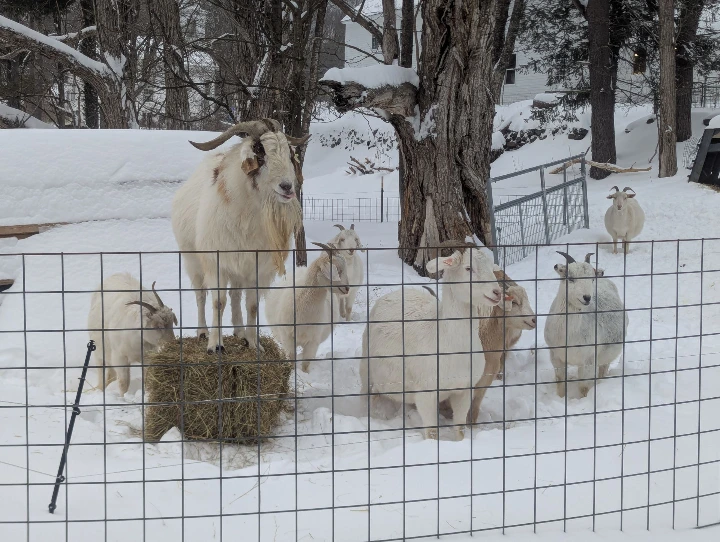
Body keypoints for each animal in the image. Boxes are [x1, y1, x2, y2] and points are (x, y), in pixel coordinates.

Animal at [172, 118, 309, 353]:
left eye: (289, 154)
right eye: (260, 154)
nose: (287, 187)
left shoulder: (256, 267)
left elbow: (251, 305)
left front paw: (254, 343)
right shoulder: (216, 262)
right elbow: (218, 302)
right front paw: (215, 345)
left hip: (237, 267)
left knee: (235, 295)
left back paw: (239, 331)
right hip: (192, 259)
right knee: (201, 294)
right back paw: (202, 331)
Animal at [264, 242, 349, 372]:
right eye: (338, 269)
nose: (347, 288)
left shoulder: (313, 341)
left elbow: (306, 363)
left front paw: (305, 373)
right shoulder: (287, 337)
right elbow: (291, 359)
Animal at [359, 242, 502, 441]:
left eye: (491, 267)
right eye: (468, 268)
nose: (497, 292)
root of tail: (397, 292)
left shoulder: (463, 390)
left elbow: (459, 428)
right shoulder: (425, 394)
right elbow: (432, 432)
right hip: (366, 369)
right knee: (366, 395)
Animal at [544, 251, 628, 398]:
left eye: (592, 279)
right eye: (570, 278)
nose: (587, 298)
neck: (568, 335)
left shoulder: (588, 360)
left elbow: (583, 386)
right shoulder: (556, 356)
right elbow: (560, 381)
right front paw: (560, 398)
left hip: (608, 354)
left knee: (603, 369)